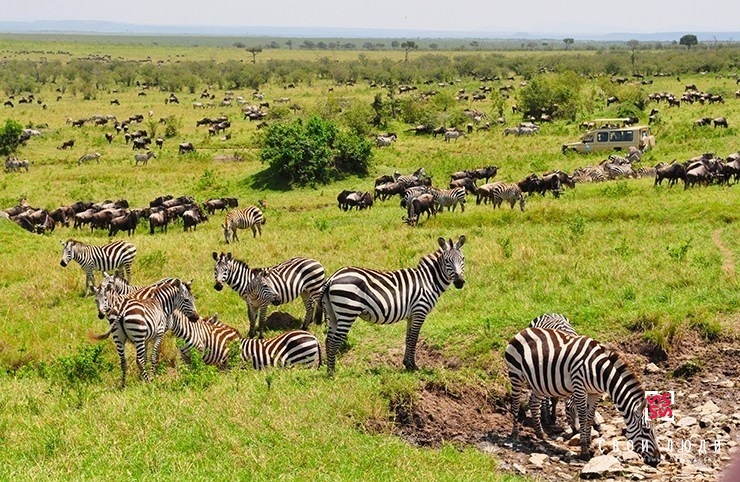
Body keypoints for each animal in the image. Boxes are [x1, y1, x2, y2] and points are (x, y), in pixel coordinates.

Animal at [322, 235, 466, 378]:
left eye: (462, 259)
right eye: (447, 261)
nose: (460, 282)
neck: (429, 280)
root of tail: (333, 277)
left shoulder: (412, 315)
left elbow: (408, 338)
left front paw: (408, 364)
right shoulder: (420, 311)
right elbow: (414, 338)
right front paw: (413, 367)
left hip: (333, 314)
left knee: (328, 340)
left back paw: (329, 370)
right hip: (347, 312)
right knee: (335, 341)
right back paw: (332, 374)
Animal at [506, 326, 660, 466]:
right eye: (646, 430)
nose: (658, 460)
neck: (600, 372)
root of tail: (523, 330)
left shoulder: (596, 393)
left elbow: (590, 417)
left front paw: (589, 442)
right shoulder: (579, 387)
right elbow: (583, 415)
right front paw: (584, 449)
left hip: (540, 383)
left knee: (533, 403)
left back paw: (540, 434)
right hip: (516, 374)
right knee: (515, 403)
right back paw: (515, 434)